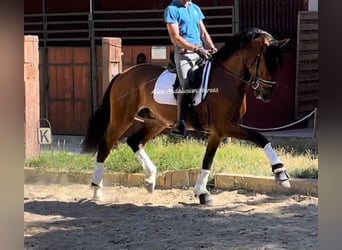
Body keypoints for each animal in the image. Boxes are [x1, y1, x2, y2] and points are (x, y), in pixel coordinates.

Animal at [82, 27, 292, 205]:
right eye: (266, 62)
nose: (266, 95)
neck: (226, 79)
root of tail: (123, 74)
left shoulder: (218, 131)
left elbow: (208, 160)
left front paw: (202, 193)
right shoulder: (225, 126)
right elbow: (260, 137)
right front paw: (281, 174)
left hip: (156, 122)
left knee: (134, 141)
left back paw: (150, 179)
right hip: (122, 118)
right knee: (106, 146)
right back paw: (97, 191)